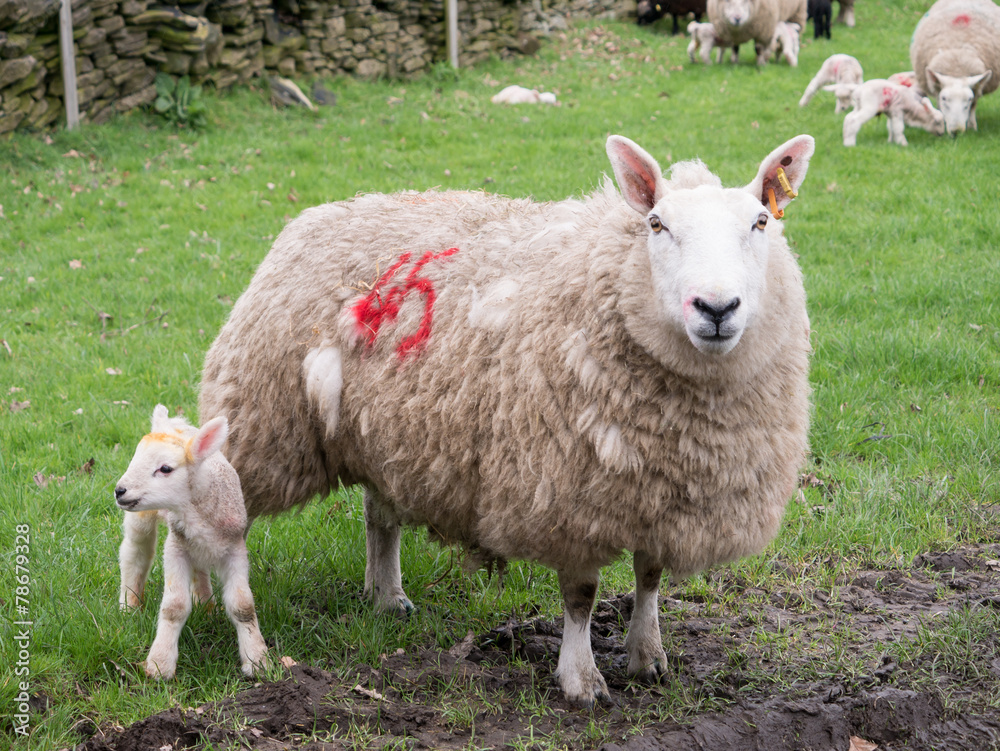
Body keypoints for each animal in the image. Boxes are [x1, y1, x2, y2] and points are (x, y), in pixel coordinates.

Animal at [116, 405, 268, 679]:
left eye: (165, 469)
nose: (119, 491)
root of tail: (172, 424)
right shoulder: (175, 548)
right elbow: (174, 606)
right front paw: (160, 664)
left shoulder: (235, 549)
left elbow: (243, 606)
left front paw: (257, 660)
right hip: (141, 518)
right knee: (135, 552)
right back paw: (129, 604)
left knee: (199, 567)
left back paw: (206, 604)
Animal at [196, 133, 815, 706]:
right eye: (657, 224)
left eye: (761, 221)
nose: (716, 308)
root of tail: (328, 210)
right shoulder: (566, 495)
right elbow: (581, 596)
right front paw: (581, 680)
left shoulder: (662, 496)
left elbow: (650, 577)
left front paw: (647, 656)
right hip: (262, 420)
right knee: (217, 521)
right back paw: (224, 619)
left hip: (387, 428)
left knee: (380, 513)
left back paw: (387, 596)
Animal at [910, 0, 1000, 134]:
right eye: (944, 98)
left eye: (969, 99)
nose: (957, 131)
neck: (957, 70)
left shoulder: (976, 88)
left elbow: (973, 106)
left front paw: (972, 126)